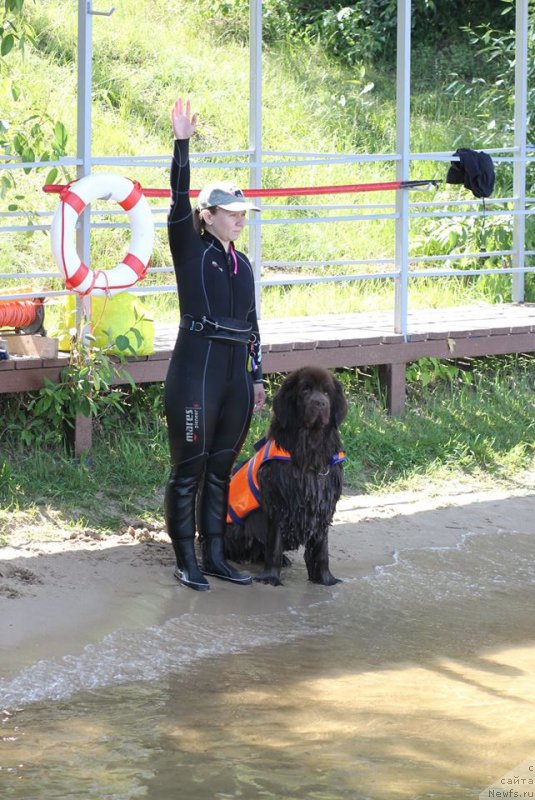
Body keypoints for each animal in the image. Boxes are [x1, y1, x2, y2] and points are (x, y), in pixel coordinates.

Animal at [225, 366, 348, 584]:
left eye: (327, 393)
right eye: (305, 390)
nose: (320, 403)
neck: (311, 449)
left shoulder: (323, 504)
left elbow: (321, 550)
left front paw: (326, 579)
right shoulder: (279, 503)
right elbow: (274, 545)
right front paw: (270, 578)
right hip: (239, 528)